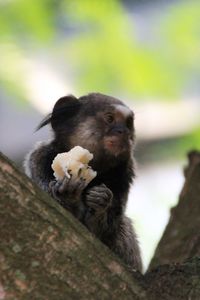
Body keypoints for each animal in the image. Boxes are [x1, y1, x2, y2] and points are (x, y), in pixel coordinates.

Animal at [24, 92, 143, 272]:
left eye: (128, 124)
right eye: (110, 118)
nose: (123, 132)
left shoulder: (123, 175)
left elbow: (103, 231)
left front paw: (100, 203)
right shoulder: (40, 159)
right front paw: (69, 195)